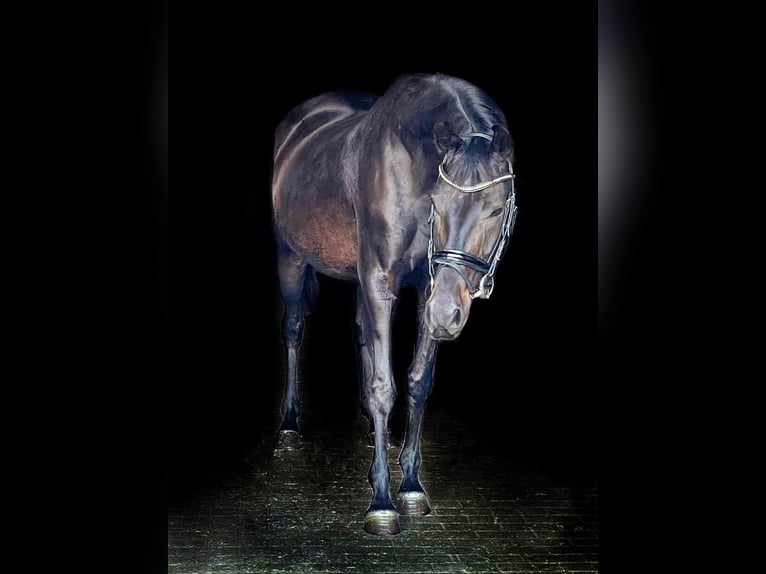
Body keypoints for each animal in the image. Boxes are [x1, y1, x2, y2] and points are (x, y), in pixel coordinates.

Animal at [271, 73, 518, 536]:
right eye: (439, 204)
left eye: (496, 210)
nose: (446, 316)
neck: (411, 165)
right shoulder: (381, 282)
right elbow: (383, 386)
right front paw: (382, 503)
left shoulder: (428, 288)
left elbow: (418, 381)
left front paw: (410, 486)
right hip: (291, 258)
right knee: (293, 330)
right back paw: (290, 425)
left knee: (360, 332)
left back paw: (370, 430)